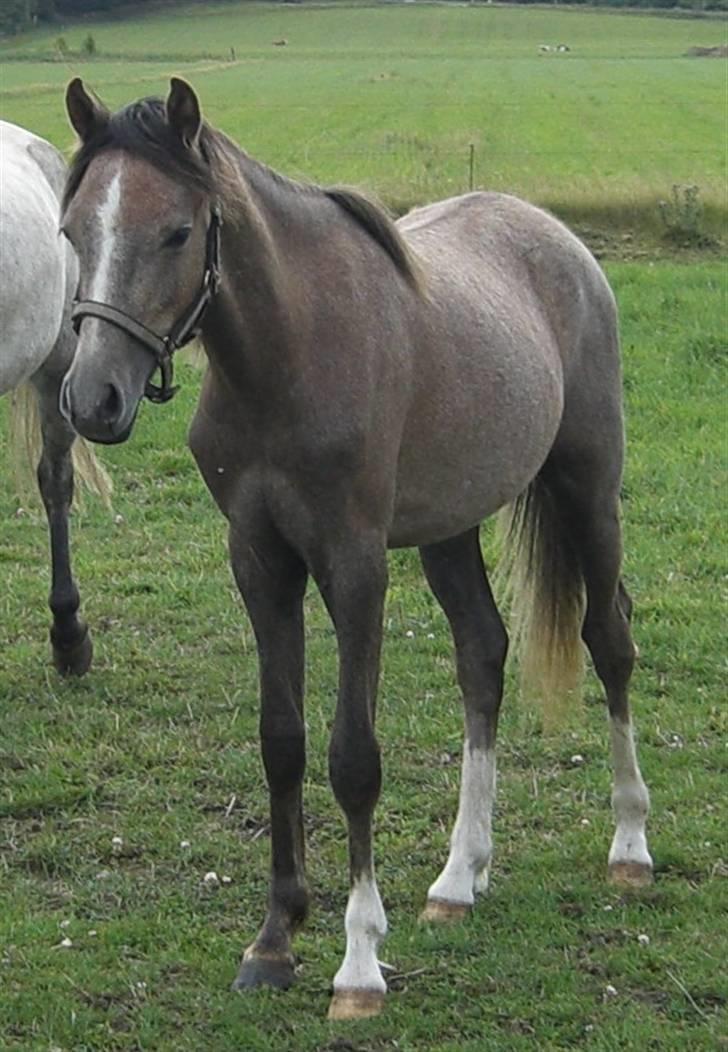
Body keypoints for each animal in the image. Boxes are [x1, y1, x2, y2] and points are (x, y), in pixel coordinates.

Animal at [58, 77, 653, 1020]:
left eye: (178, 231)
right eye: (73, 230)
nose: (93, 400)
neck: (290, 356)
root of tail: (558, 238)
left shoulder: (354, 566)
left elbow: (352, 759)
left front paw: (359, 961)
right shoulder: (260, 563)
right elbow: (282, 742)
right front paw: (274, 941)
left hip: (588, 492)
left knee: (610, 642)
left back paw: (630, 846)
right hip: (450, 529)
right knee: (482, 655)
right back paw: (458, 877)